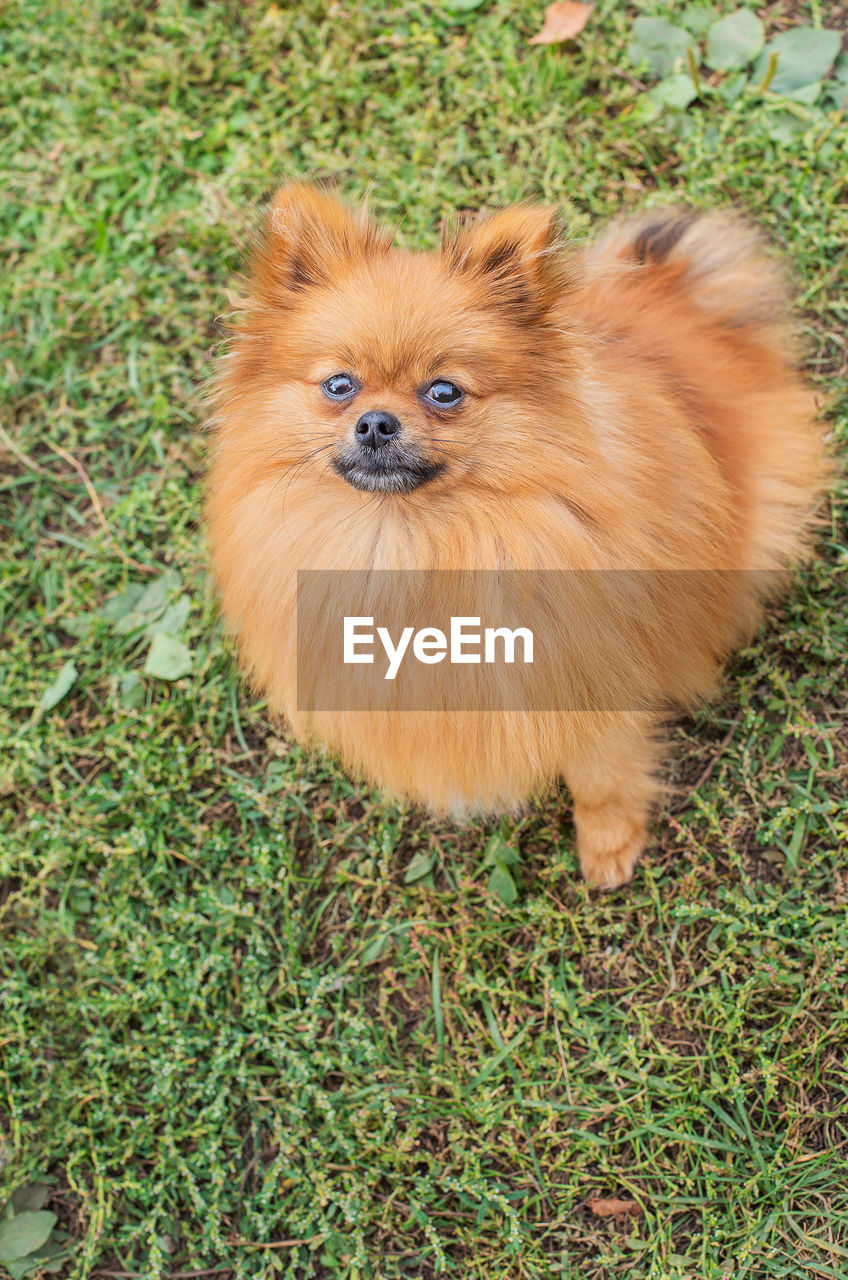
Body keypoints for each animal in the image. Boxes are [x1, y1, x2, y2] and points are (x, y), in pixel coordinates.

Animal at [206, 183, 830, 890]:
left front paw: (609, 843)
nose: (375, 422)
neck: (410, 542)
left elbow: (601, 771)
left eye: (445, 391)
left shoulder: (588, 669)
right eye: (340, 385)